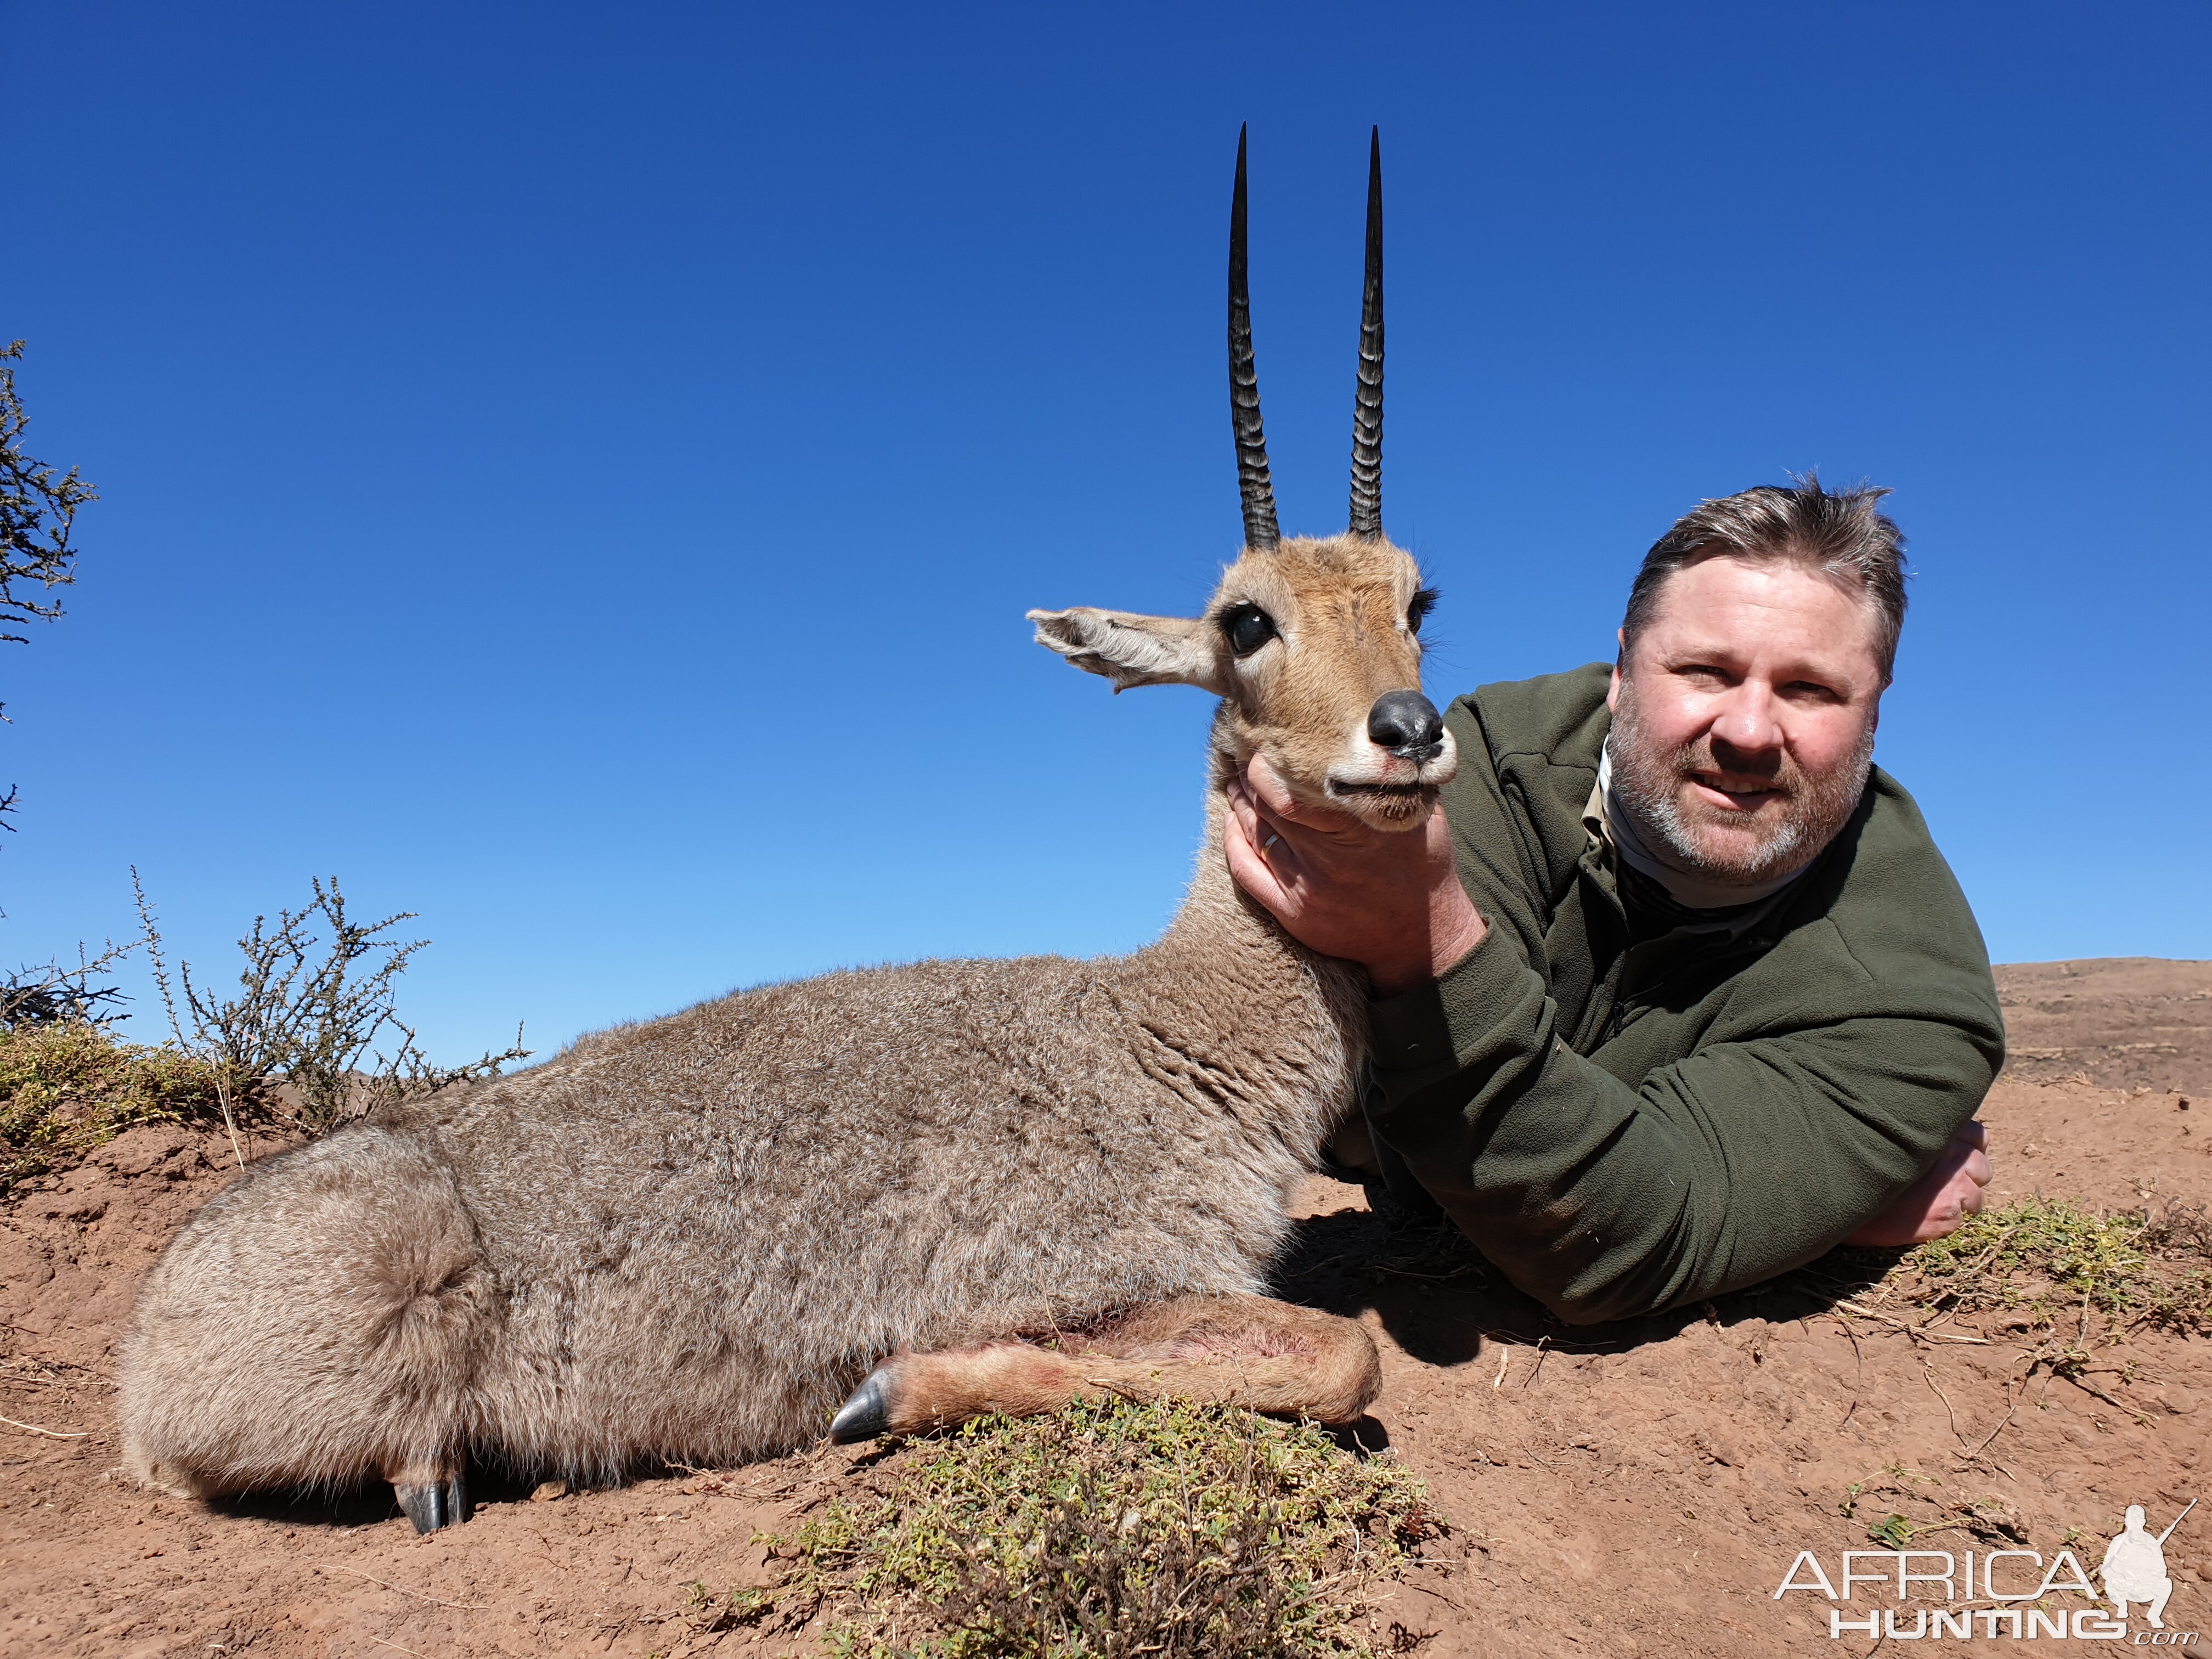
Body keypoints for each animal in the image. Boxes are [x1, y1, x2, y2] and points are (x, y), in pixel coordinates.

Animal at [125, 126, 1469, 1531]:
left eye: (1415, 600)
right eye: (1247, 622)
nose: (1407, 731)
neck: (1162, 1024)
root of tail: (155, 1330)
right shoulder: (1093, 1281)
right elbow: (1341, 1354)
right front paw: (887, 1390)